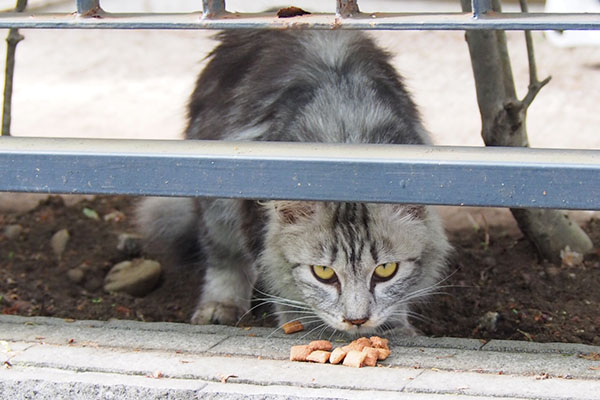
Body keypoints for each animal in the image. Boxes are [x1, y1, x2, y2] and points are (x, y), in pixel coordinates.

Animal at [138, 30, 450, 334]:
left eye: (386, 270)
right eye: (324, 273)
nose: (357, 320)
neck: (348, 150)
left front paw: (394, 326)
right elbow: (286, 291)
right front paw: (302, 329)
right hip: (216, 207)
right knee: (224, 259)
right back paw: (220, 307)